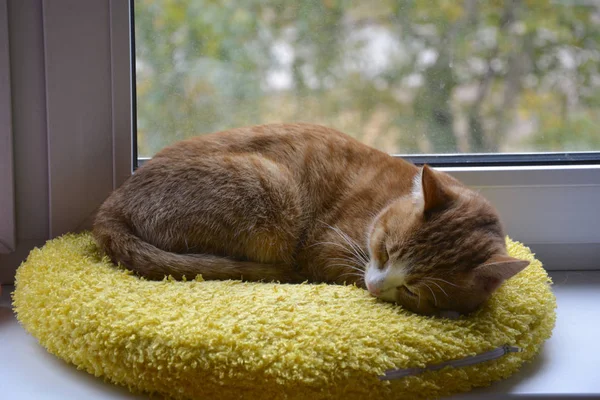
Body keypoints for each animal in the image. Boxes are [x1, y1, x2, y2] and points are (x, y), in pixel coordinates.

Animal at [91, 122, 528, 316]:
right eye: (385, 251)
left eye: (413, 290)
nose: (374, 288)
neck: (389, 198)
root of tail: (110, 208)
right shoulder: (328, 249)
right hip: (271, 192)